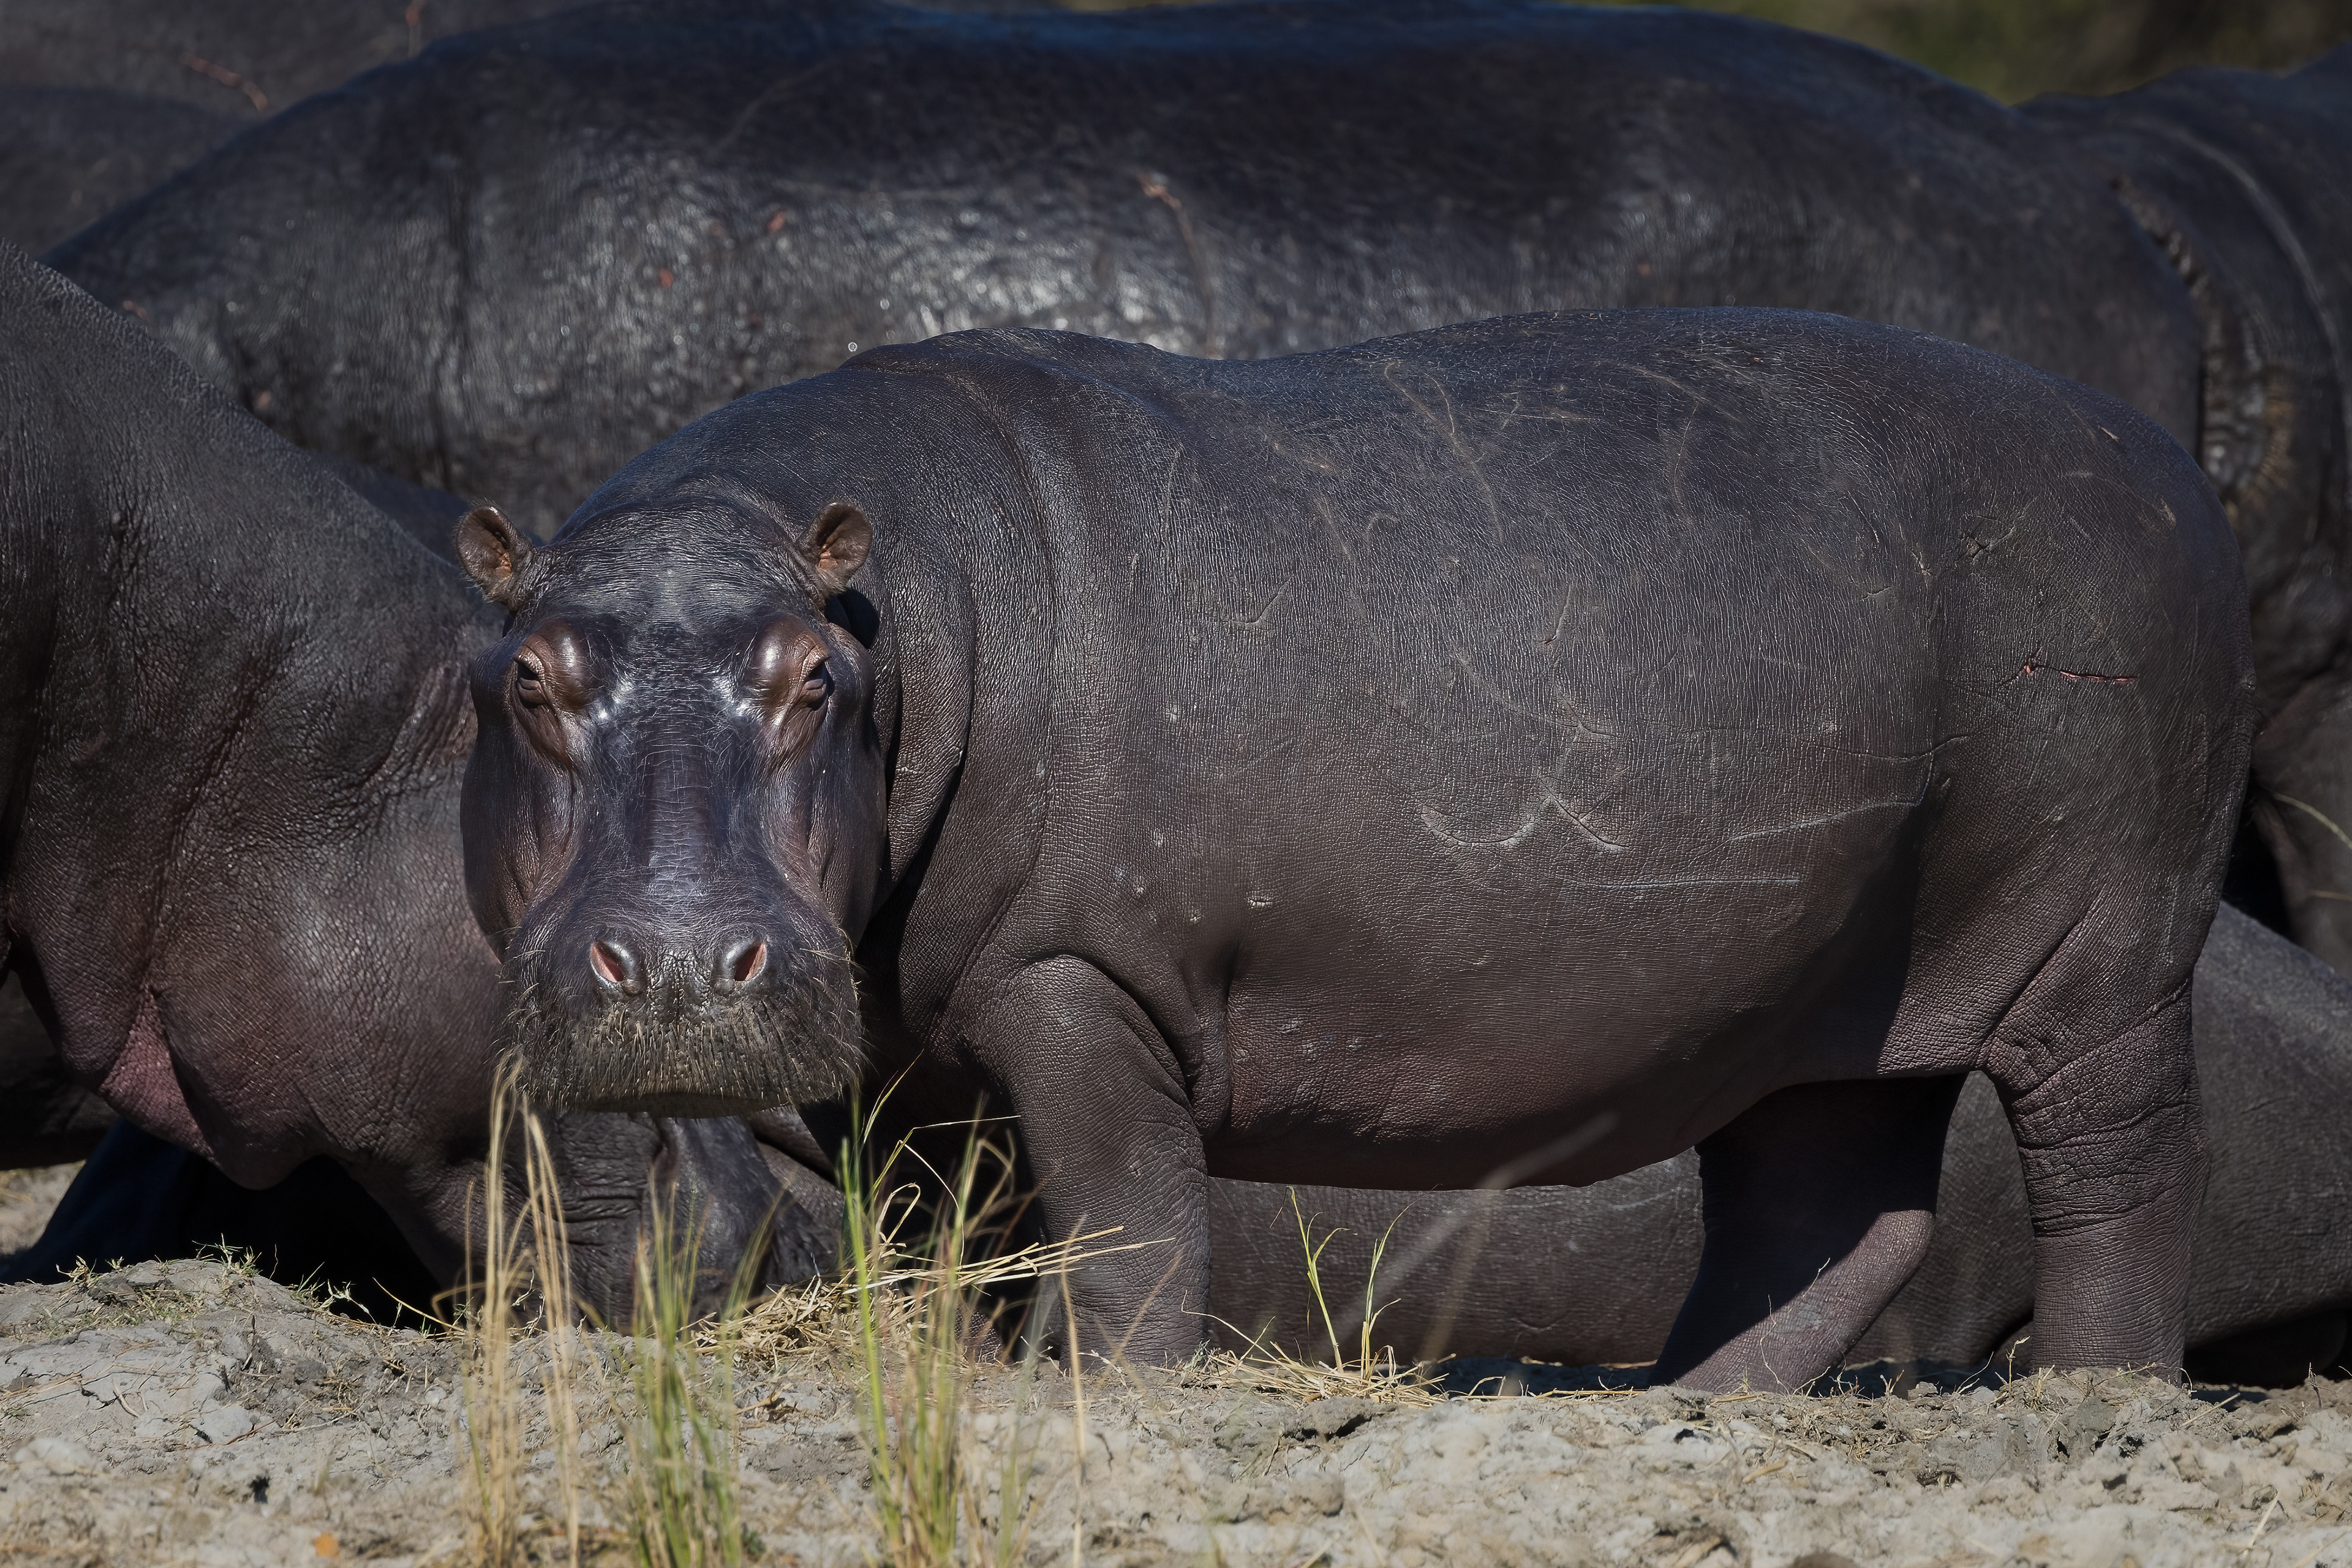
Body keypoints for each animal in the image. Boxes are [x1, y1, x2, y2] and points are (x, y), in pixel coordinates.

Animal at [452, 311, 2253, 1389]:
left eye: (808, 680)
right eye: (526, 675)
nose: (673, 965)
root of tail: (2170, 465)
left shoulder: (1080, 979)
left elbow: (1129, 1218)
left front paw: (1109, 1392)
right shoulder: (904, 1057)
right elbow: (930, 1245)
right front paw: (951, 1384)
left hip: (2103, 947)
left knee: (2120, 1166)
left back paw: (2091, 1396)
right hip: (1817, 990)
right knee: (1834, 1210)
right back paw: (1677, 1402)